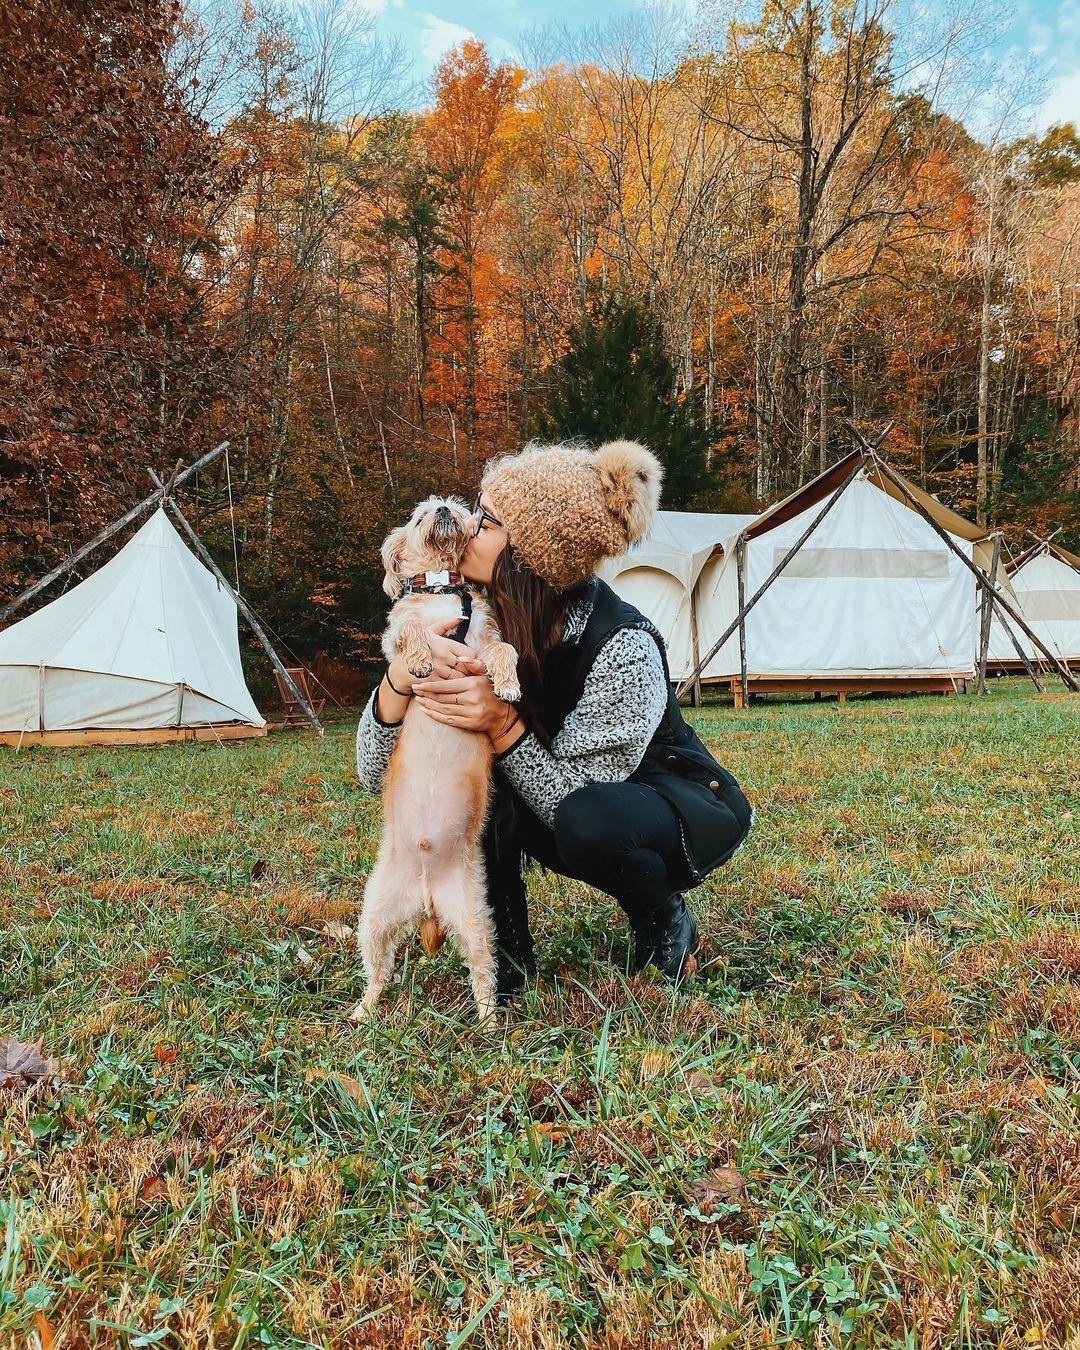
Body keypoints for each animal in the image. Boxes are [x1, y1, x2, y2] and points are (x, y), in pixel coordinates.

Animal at [351, 499, 521, 1020]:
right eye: (418, 514)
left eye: (451, 504)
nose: (443, 506)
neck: (443, 586)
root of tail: (425, 899)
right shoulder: (393, 637)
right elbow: (406, 630)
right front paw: (422, 658)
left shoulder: (484, 638)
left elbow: (503, 647)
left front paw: (508, 684)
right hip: (374, 917)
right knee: (378, 972)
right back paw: (363, 1011)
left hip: (476, 920)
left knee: (483, 974)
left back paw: (489, 1022)